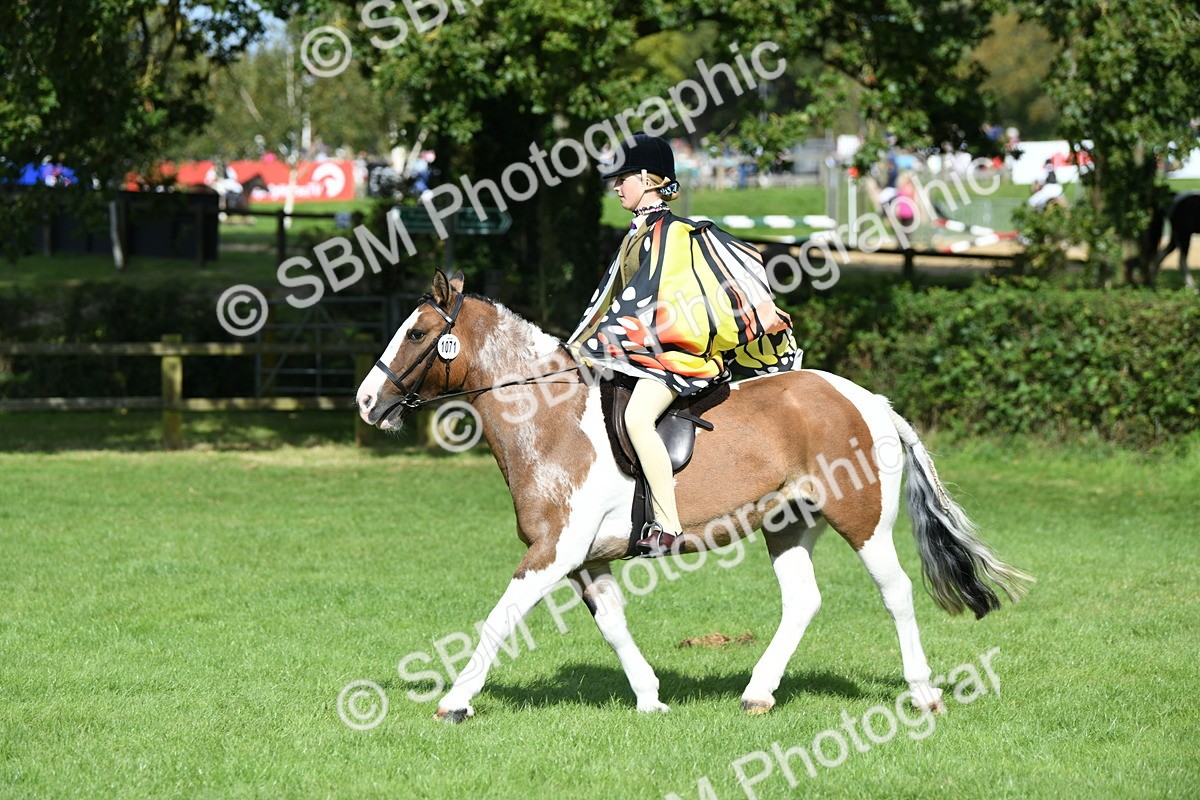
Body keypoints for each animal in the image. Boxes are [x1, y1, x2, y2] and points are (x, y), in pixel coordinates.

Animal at [356, 270, 1032, 722]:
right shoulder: (587, 560)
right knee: (803, 600)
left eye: (417, 332)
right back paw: (757, 694)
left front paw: (455, 700)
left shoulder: (553, 551)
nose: (366, 401)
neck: (549, 418)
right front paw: (651, 699)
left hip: (862, 520)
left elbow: (501, 617)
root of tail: (869, 401)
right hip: (788, 522)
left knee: (895, 593)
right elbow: (614, 626)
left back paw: (922, 692)